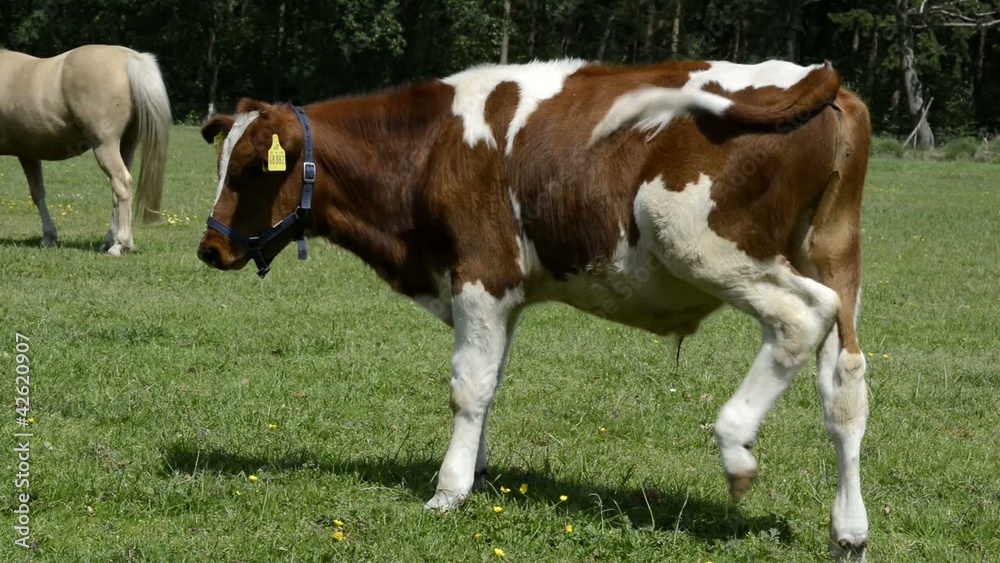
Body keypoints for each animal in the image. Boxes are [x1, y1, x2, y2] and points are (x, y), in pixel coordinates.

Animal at [0, 44, 171, 255]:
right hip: (127, 144)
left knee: (122, 184)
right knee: (117, 191)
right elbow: (38, 193)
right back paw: (110, 241)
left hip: (105, 146)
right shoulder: (28, 153)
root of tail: (130, 58)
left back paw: (120, 245)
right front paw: (49, 237)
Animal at [197, 58, 871, 559]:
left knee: (799, 317)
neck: (430, 145)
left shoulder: (482, 273)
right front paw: (478, 471)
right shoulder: (504, 295)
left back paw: (735, 445)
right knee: (845, 384)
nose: (209, 247)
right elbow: (491, 381)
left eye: (252, 167)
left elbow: (467, 387)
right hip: (834, 256)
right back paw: (849, 531)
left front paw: (449, 491)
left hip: (697, 239)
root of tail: (817, 78)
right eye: (222, 161)